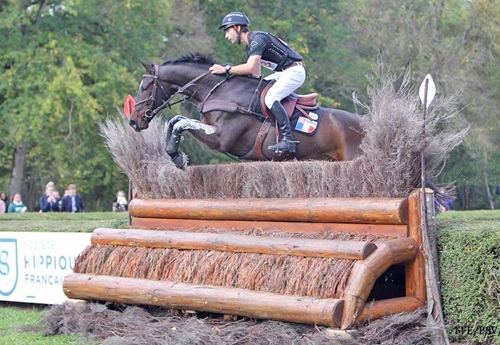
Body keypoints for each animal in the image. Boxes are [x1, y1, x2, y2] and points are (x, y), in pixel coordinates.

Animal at [125, 53, 364, 169]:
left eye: (145, 87)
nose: (134, 121)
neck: (220, 90)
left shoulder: (222, 139)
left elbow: (182, 122)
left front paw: (177, 157)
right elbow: (176, 120)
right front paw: (175, 154)